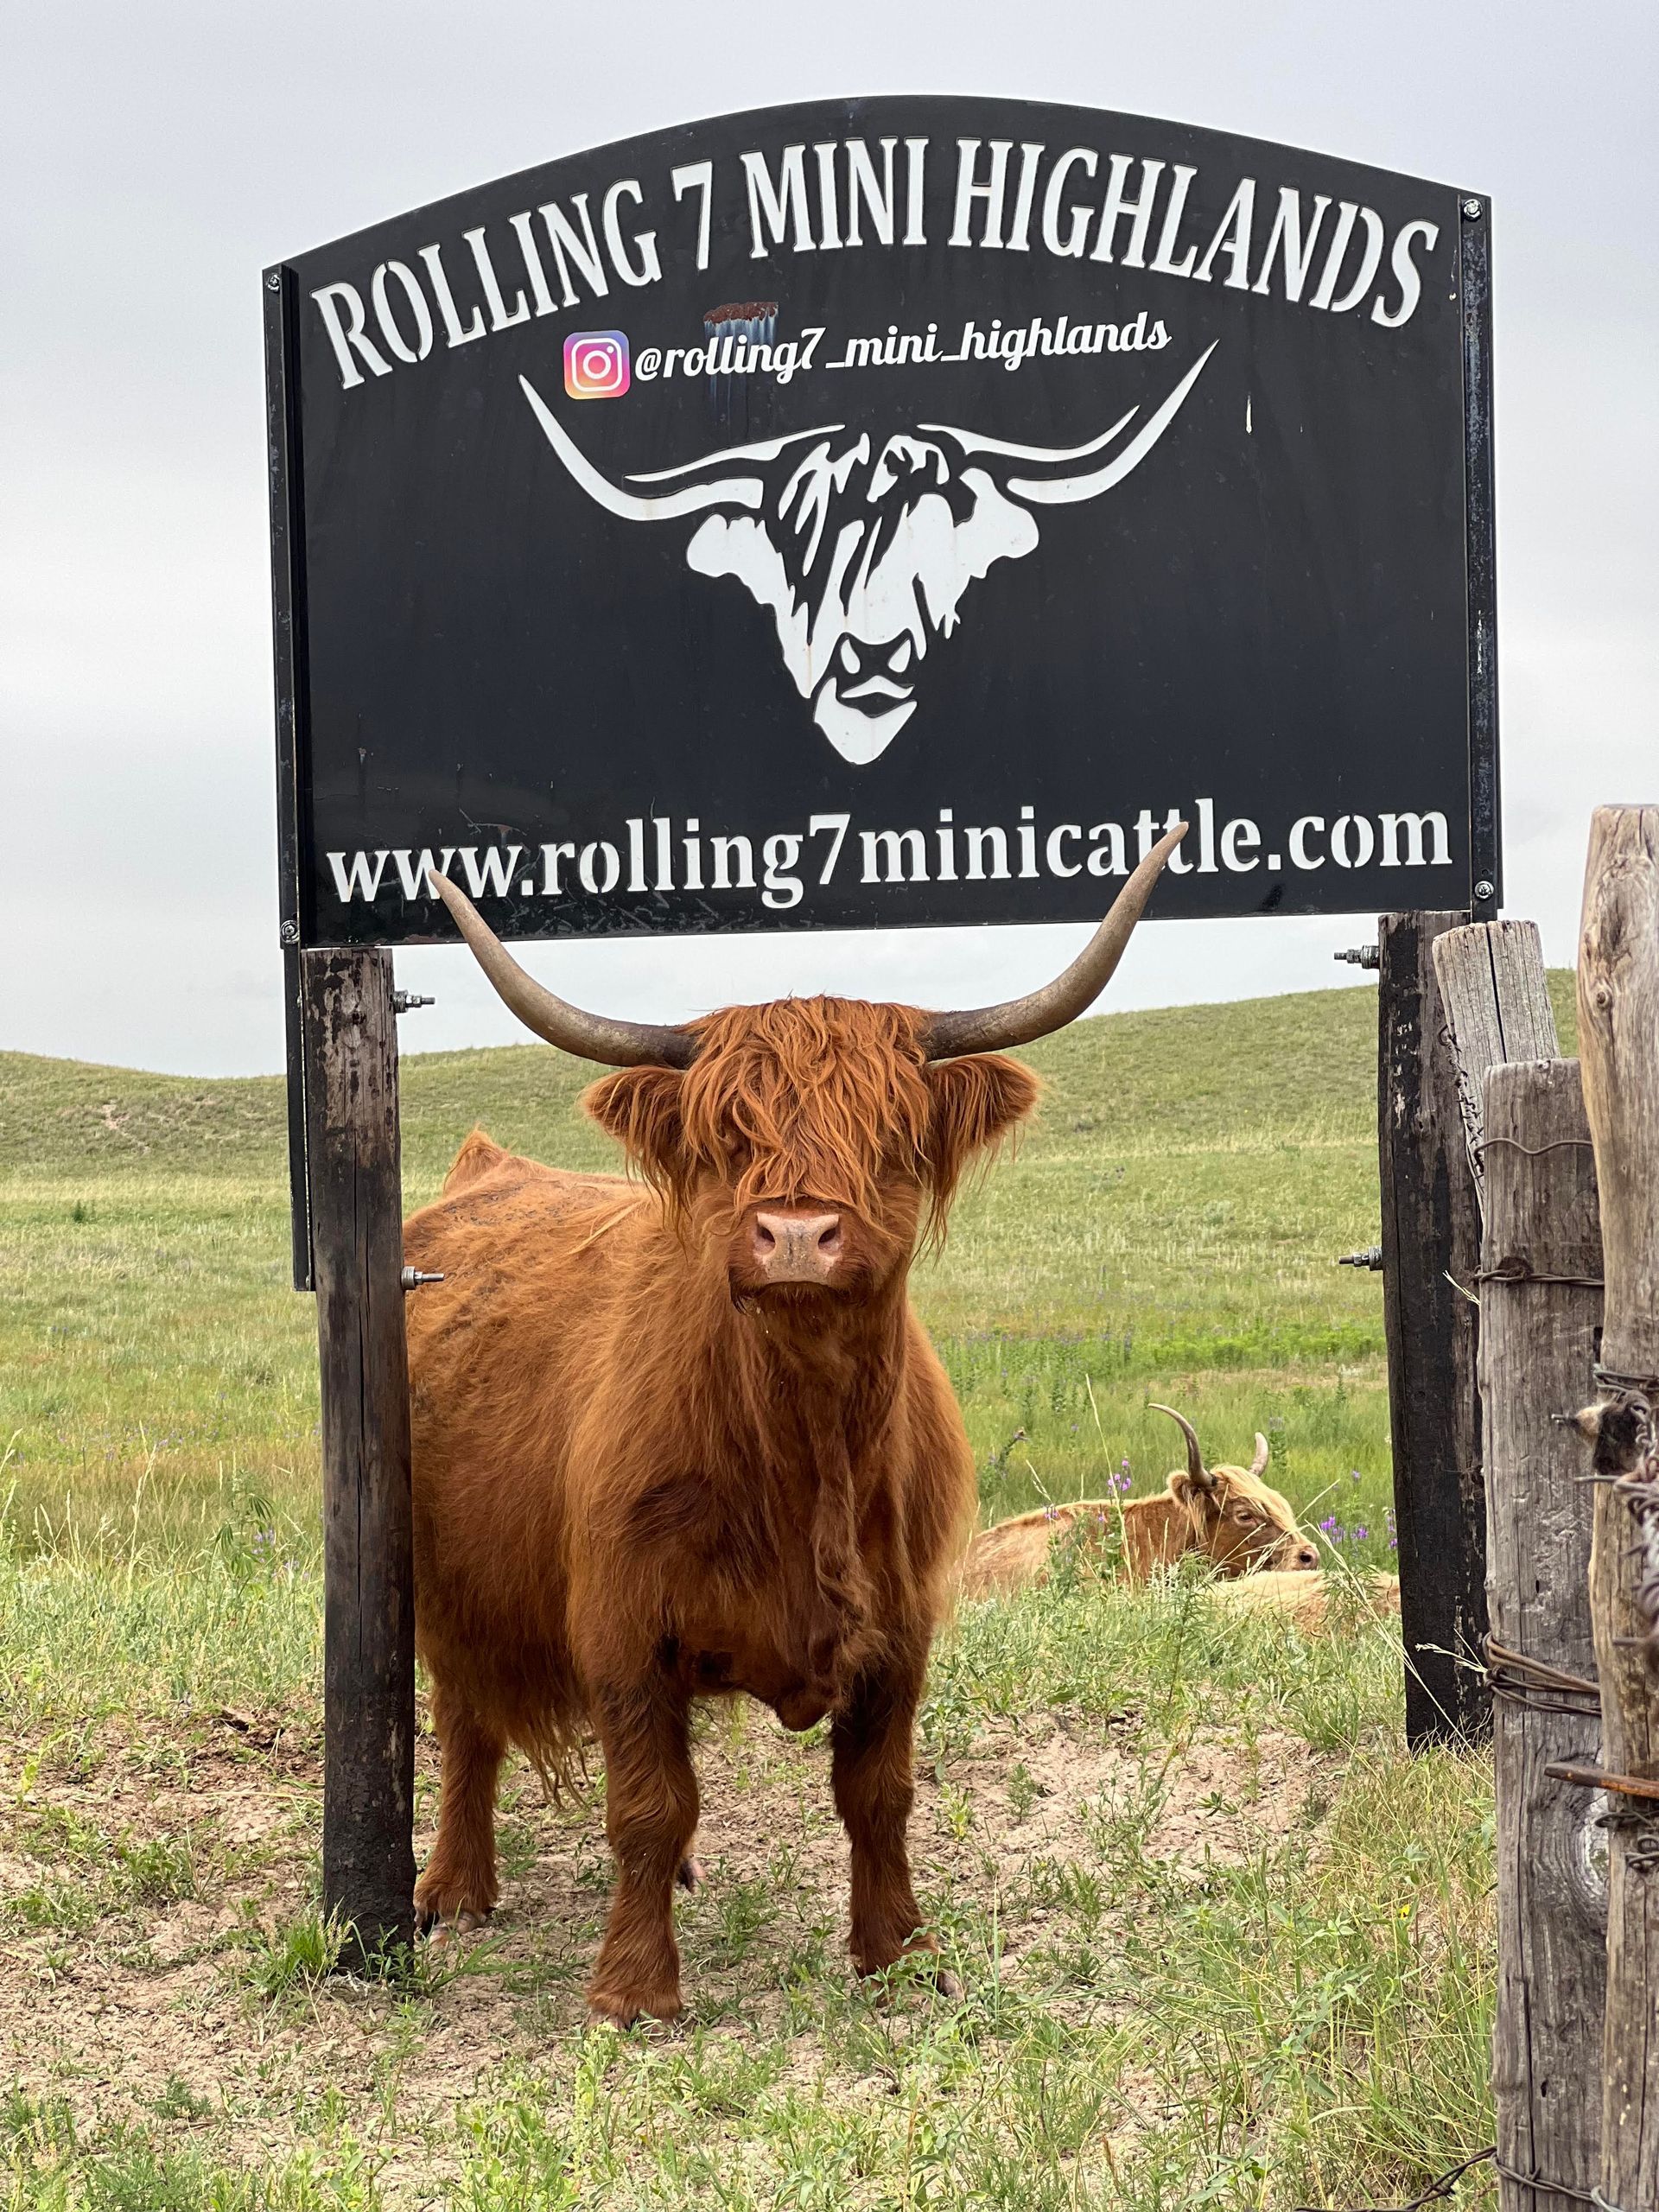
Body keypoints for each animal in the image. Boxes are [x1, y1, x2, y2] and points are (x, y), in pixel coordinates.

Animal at [402, 828, 1183, 2025]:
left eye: (892, 1134)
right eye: (729, 1138)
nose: (799, 1235)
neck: (804, 1443)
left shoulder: (903, 1624)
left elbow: (879, 1793)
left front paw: (898, 1951)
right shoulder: (622, 1626)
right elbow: (647, 1804)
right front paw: (634, 1990)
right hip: (443, 1583)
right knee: (466, 1724)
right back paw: (452, 1888)